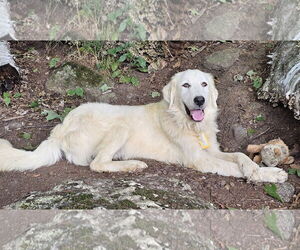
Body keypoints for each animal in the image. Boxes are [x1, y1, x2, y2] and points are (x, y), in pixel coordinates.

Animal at [0, 69, 288, 183]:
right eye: (186, 85)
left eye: (204, 84)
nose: (200, 100)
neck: (188, 124)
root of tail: (60, 128)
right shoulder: (200, 160)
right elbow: (233, 167)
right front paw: (267, 175)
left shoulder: (213, 151)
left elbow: (239, 156)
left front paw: (258, 170)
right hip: (120, 127)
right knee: (97, 164)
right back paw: (133, 165)